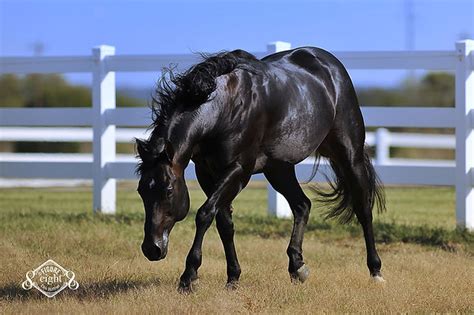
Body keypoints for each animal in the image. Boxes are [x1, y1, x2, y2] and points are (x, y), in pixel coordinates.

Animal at [136, 47, 386, 294]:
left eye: (168, 190)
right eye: (141, 191)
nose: (151, 249)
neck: (225, 106)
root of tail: (330, 64)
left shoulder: (239, 170)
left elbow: (205, 214)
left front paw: (189, 277)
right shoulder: (206, 172)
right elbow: (224, 223)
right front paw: (233, 278)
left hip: (349, 156)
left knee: (363, 209)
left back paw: (376, 271)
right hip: (279, 169)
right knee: (302, 205)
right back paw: (297, 267)